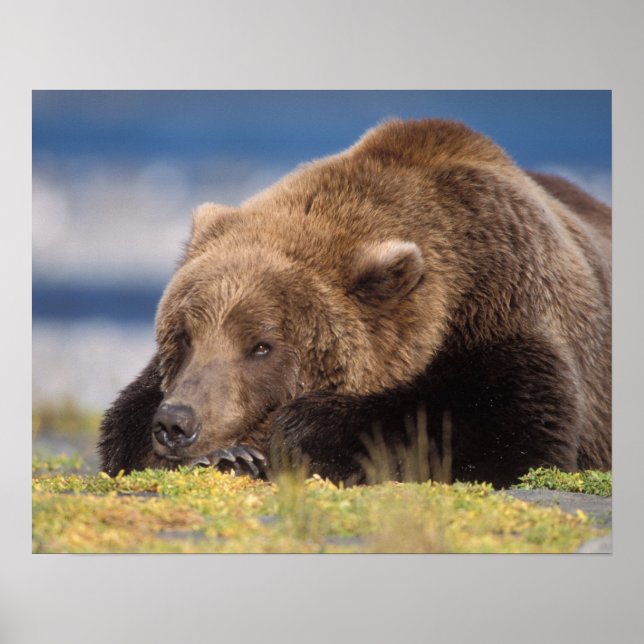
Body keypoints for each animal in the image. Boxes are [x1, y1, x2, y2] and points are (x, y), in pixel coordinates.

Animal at [98, 118, 611, 488]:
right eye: (183, 336)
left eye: (261, 346)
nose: (177, 422)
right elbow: (123, 425)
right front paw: (227, 453)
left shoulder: (508, 304)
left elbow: (506, 425)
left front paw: (289, 435)